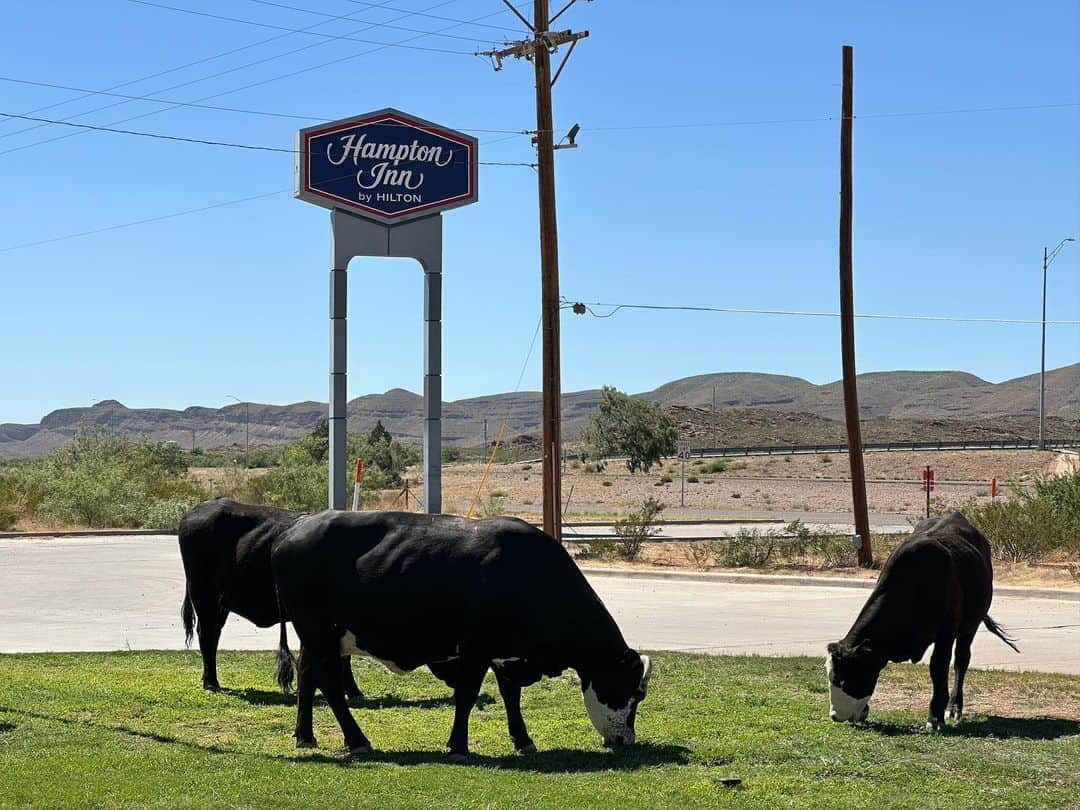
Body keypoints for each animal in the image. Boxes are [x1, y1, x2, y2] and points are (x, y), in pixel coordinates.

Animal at [177, 501, 362, 699]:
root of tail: (201, 507)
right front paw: (352, 690)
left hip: (221, 603)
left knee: (214, 634)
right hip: (203, 594)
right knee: (206, 634)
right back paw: (211, 683)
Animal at [274, 509, 652, 760]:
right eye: (633, 693)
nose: (627, 741)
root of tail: (294, 530)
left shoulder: (506, 654)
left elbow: (511, 696)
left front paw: (523, 740)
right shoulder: (476, 649)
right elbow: (467, 695)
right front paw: (458, 745)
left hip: (317, 638)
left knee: (308, 676)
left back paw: (305, 736)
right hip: (319, 632)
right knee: (329, 684)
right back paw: (357, 741)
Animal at [820, 516, 1015, 734]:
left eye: (843, 679)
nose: (835, 716)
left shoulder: (946, 634)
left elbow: (938, 668)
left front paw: (935, 717)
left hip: (970, 626)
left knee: (961, 660)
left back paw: (954, 707)